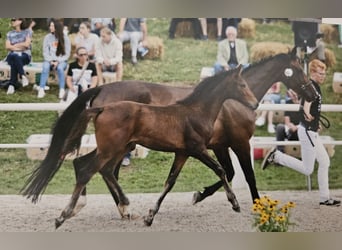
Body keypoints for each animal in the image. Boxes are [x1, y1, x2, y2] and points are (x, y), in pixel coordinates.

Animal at [21, 65, 258, 228]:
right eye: (242, 85)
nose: (255, 104)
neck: (196, 111)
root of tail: (102, 107)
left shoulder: (182, 153)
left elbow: (170, 182)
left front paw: (150, 216)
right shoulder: (198, 149)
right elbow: (221, 170)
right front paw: (235, 203)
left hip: (119, 147)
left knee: (93, 166)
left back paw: (117, 207)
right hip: (111, 148)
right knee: (89, 170)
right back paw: (64, 215)